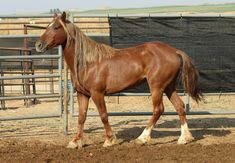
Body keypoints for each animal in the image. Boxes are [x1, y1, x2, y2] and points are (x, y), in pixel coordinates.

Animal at [35, 12, 202, 148]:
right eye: (48, 26)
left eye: (56, 27)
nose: (38, 45)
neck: (88, 63)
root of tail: (174, 51)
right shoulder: (83, 94)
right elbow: (81, 118)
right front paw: (75, 141)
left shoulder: (97, 93)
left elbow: (103, 115)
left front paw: (110, 140)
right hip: (168, 87)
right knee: (179, 106)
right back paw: (184, 138)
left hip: (157, 87)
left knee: (158, 109)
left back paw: (142, 138)